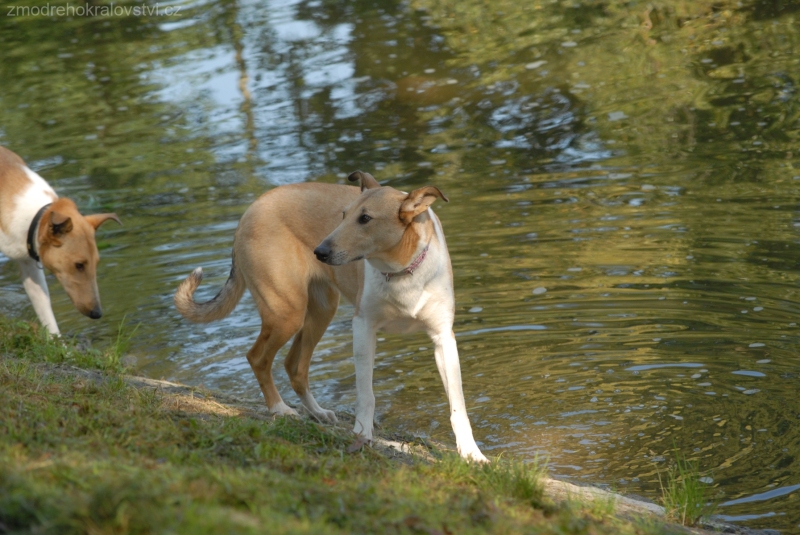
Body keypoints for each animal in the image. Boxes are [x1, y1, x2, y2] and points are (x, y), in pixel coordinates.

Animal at [175, 174, 488, 462]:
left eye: (365, 218)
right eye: (343, 215)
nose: (320, 251)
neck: (401, 270)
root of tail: (250, 210)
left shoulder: (443, 338)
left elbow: (458, 405)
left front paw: (472, 453)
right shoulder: (363, 328)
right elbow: (366, 393)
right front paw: (362, 435)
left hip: (320, 310)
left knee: (294, 366)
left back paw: (318, 413)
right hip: (287, 312)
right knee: (258, 357)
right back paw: (280, 409)